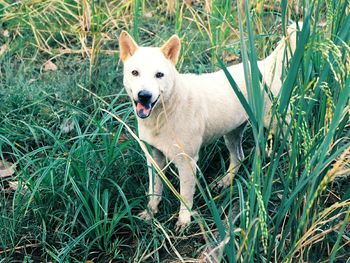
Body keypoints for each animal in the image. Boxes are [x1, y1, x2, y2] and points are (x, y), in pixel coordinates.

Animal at [118, 23, 298, 229]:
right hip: (232, 132)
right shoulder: (154, 157)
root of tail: (267, 65)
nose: (144, 96)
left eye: (159, 75)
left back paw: (294, 168)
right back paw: (225, 181)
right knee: (238, 157)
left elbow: (185, 195)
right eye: (135, 72)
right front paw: (150, 211)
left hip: (277, 123)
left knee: (292, 141)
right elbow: (154, 188)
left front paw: (184, 221)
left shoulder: (187, 162)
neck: (164, 113)